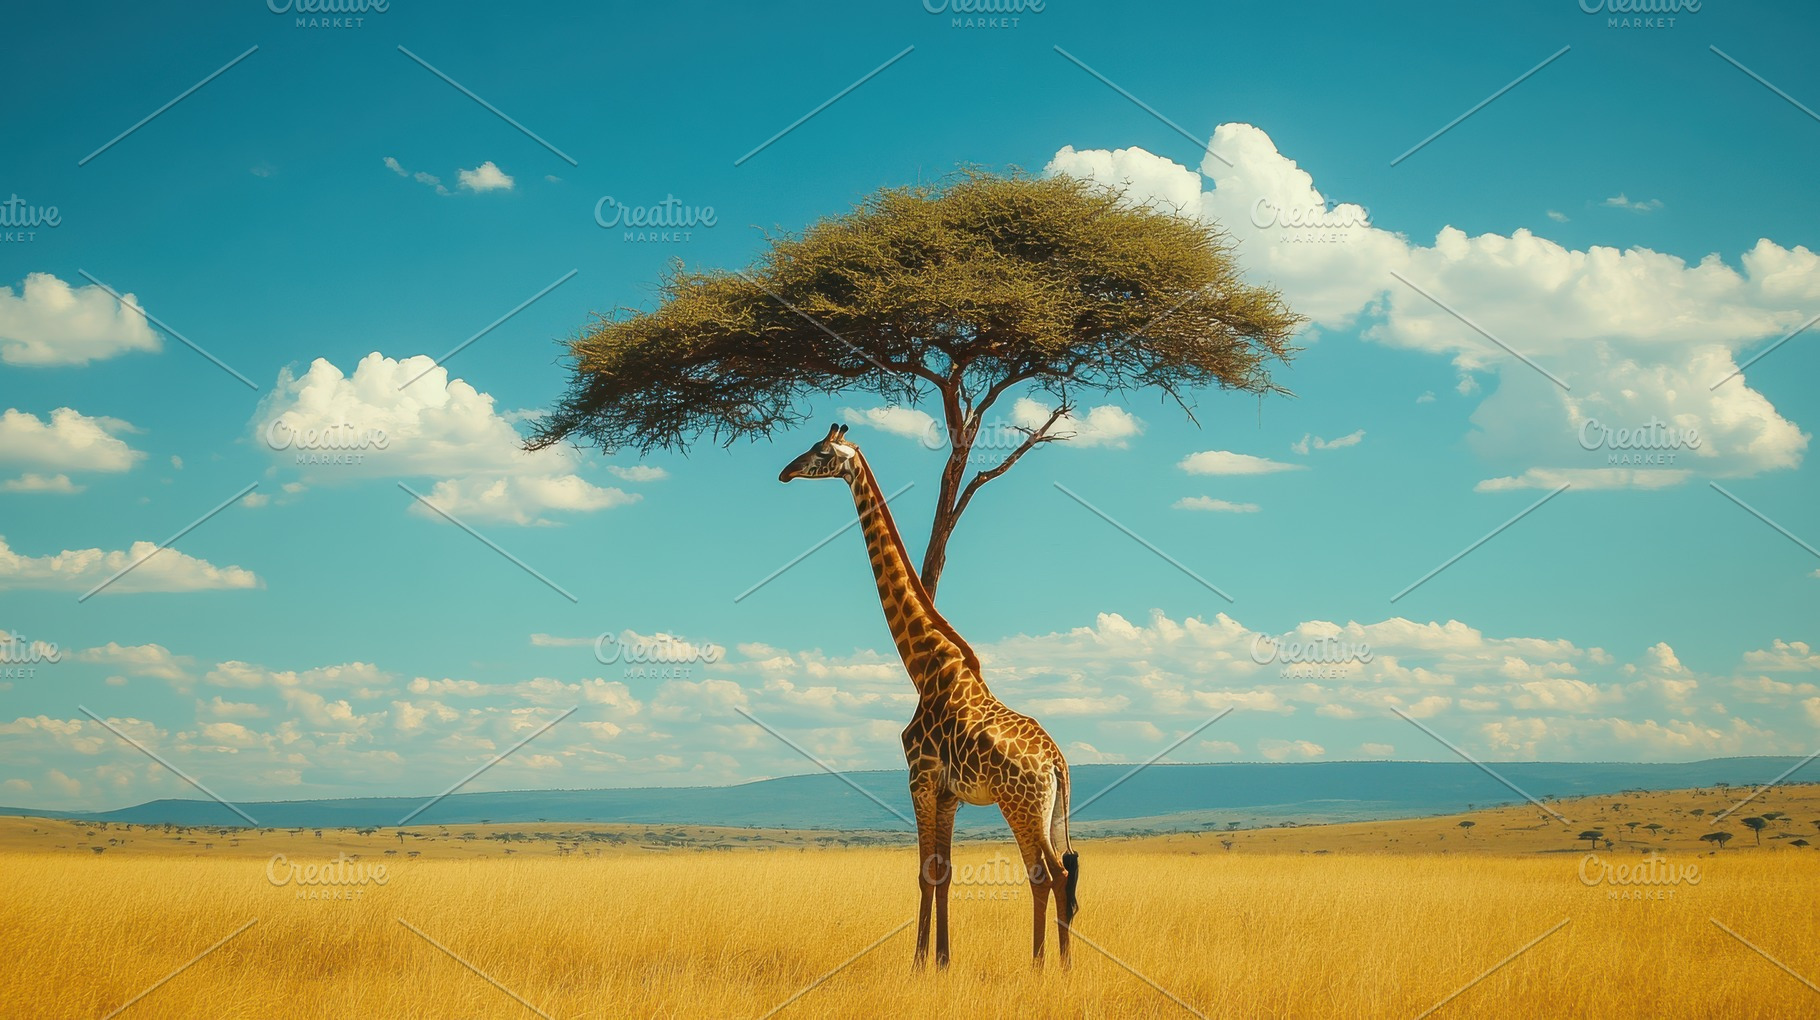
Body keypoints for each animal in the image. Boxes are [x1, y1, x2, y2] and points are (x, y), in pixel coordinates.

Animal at [779, 423, 1079, 969]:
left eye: (821, 451)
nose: (785, 472)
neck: (924, 667)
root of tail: (1056, 762)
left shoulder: (918, 778)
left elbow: (925, 873)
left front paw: (918, 964)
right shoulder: (948, 795)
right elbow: (945, 874)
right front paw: (942, 959)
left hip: (1020, 805)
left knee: (1045, 875)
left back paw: (1041, 966)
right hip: (1050, 811)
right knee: (1064, 873)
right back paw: (1063, 968)